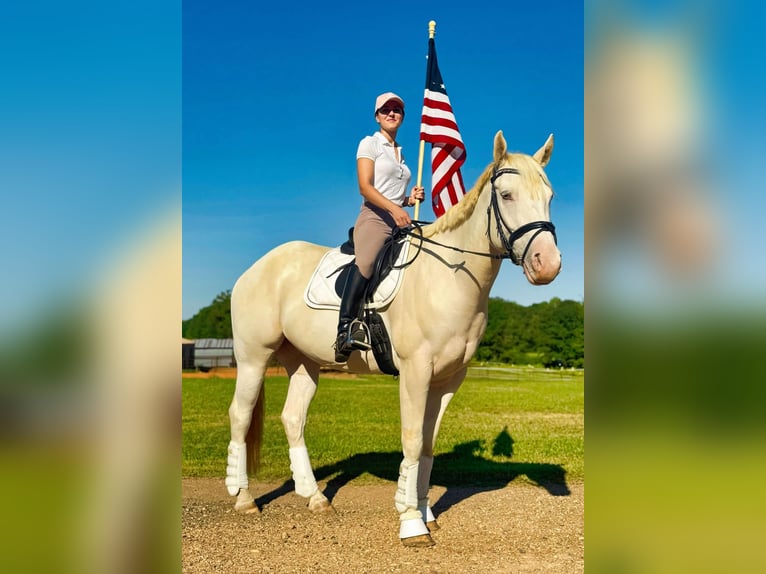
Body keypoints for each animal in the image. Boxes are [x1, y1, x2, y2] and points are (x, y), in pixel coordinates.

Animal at [225, 130, 560, 548]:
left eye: (549, 196)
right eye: (507, 195)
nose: (548, 264)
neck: (447, 276)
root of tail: (257, 267)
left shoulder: (449, 378)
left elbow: (429, 444)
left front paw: (426, 512)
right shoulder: (416, 371)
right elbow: (413, 439)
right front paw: (411, 522)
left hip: (303, 361)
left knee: (293, 418)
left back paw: (315, 497)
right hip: (253, 356)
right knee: (240, 415)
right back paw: (243, 499)